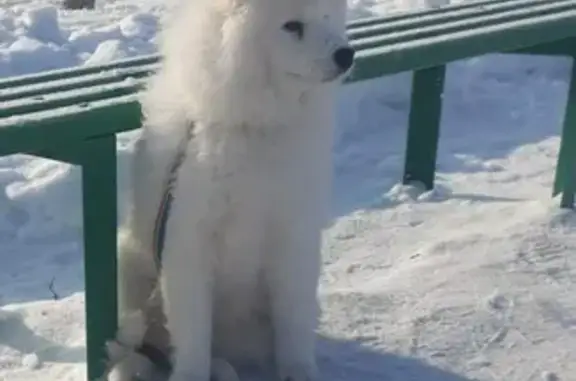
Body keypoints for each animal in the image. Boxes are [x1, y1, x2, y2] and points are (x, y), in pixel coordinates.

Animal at [106, 0, 354, 378]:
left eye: (326, 17)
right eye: (292, 26)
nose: (346, 55)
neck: (256, 126)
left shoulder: (293, 231)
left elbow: (293, 318)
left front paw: (298, 371)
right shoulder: (188, 237)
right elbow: (193, 332)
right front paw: (191, 376)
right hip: (130, 267)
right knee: (142, 343)